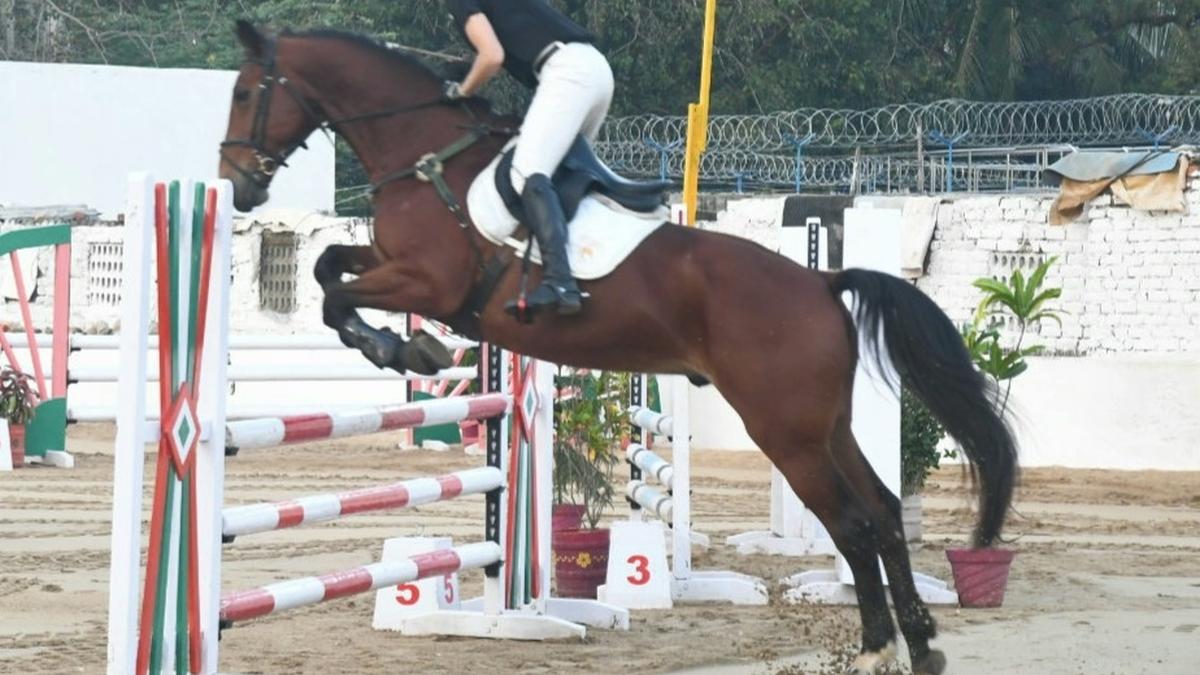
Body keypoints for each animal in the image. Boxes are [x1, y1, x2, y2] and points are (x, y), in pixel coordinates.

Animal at [217, 21, 1017, 675]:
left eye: (246, 91)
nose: (237, 185)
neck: (424, 157)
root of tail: (822, 281)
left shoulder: (428, 283)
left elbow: (334, 294)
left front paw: (399, 349)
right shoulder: (391, 266)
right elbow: (328, 268)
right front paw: (401, 347)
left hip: (785, 431)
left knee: (851, 523)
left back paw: (878, 647)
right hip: (827, 425)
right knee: (881, 510)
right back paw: (922, 643)